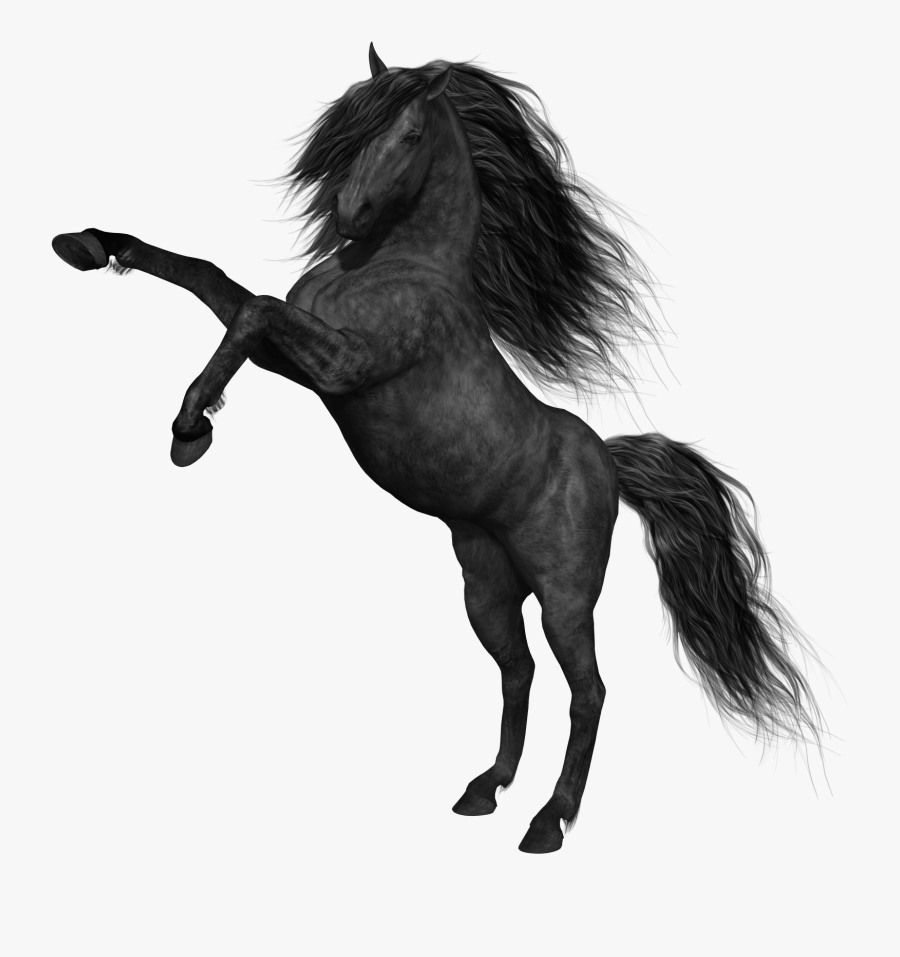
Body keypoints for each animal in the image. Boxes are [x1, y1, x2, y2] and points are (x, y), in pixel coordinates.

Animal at [51, 45, 823, 854]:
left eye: (412, 133)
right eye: (353, 131)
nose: (347, 214)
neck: (400, 263)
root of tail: (609, 463)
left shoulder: (343, 367)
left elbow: (254, 309)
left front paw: (189, 429)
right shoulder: (299, 362)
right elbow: (213, 282)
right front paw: (90, 246)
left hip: (565, 593)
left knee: (589, 690)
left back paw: (548, 820)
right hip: (486, 585)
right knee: (518, 672)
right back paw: (486, 789)